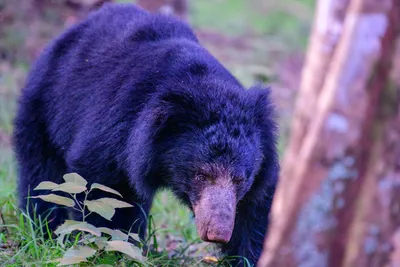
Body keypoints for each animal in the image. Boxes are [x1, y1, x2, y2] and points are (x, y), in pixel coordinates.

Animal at [14, 3, 280, 266]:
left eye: (240, 180)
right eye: (200, 175)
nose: (218, 233)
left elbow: (256, 209)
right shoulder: (118, 130)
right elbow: (104, 190)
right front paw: (113, 250)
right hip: (41, 110)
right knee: (42, 177)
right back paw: (46, 231)